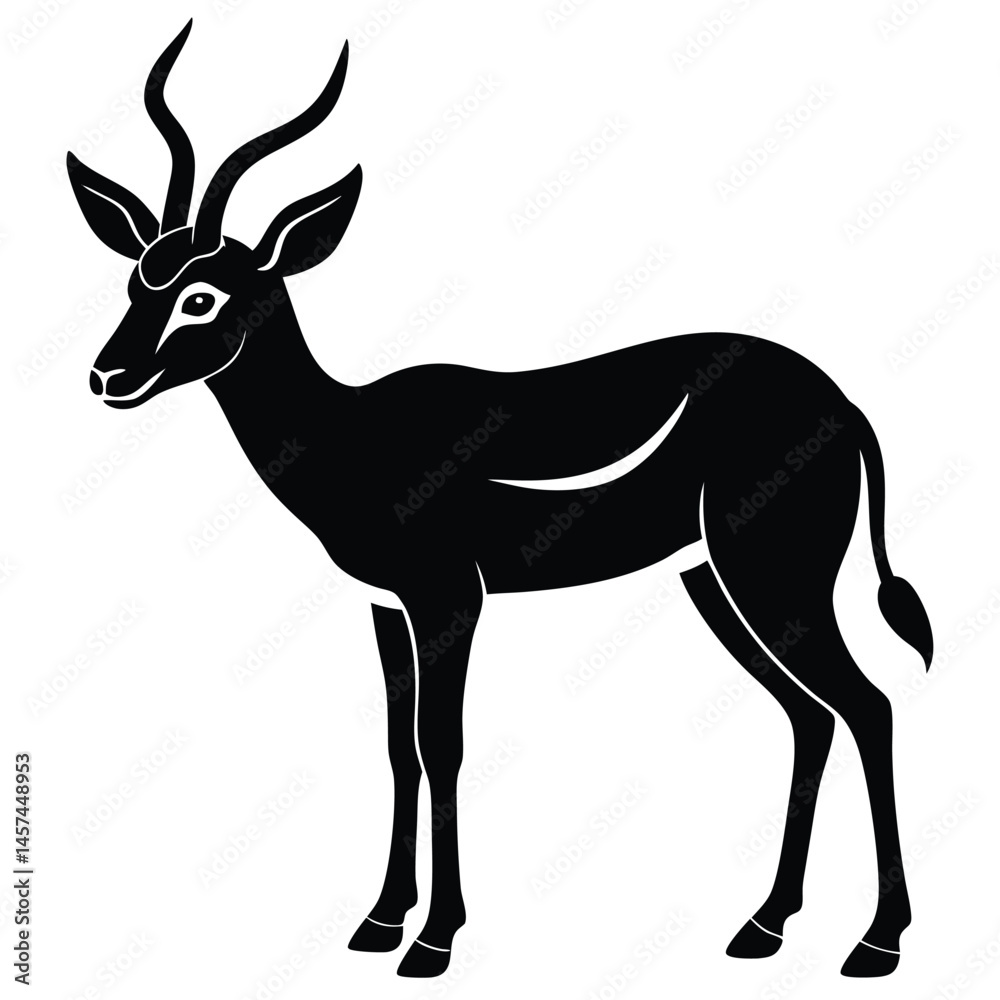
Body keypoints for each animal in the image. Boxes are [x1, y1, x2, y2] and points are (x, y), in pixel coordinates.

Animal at [67, 21, 934, 980]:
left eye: (201, 295)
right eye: (134, 279)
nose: (108, 377)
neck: (352, 432)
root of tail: (843, 405)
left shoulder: (450, 597)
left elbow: (441, 746)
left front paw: (433, 941)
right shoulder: (386, 606)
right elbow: (398, 749)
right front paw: (379, 922)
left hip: (774, 579)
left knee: (868, 706)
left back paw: (876, 943)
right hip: (712, 580)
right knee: (810, 717)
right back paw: (763, 927)